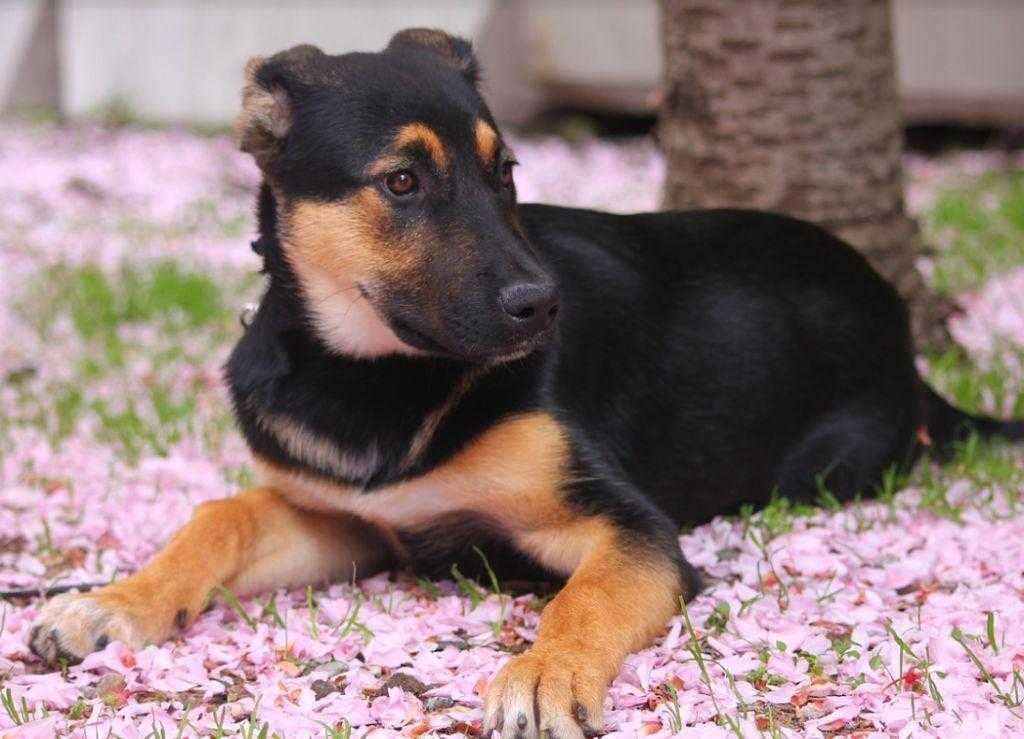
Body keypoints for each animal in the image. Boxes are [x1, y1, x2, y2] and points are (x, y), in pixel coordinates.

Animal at [29, 25, 1024, 732]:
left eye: (504, 170)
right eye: (401, 180)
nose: (543, 306)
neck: (379, 379)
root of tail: (902, 335)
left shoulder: (626, 527)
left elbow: (583, 599)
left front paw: (545, 674)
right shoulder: (347, 520)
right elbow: (220, 515)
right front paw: (109, 604)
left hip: (826, 466)